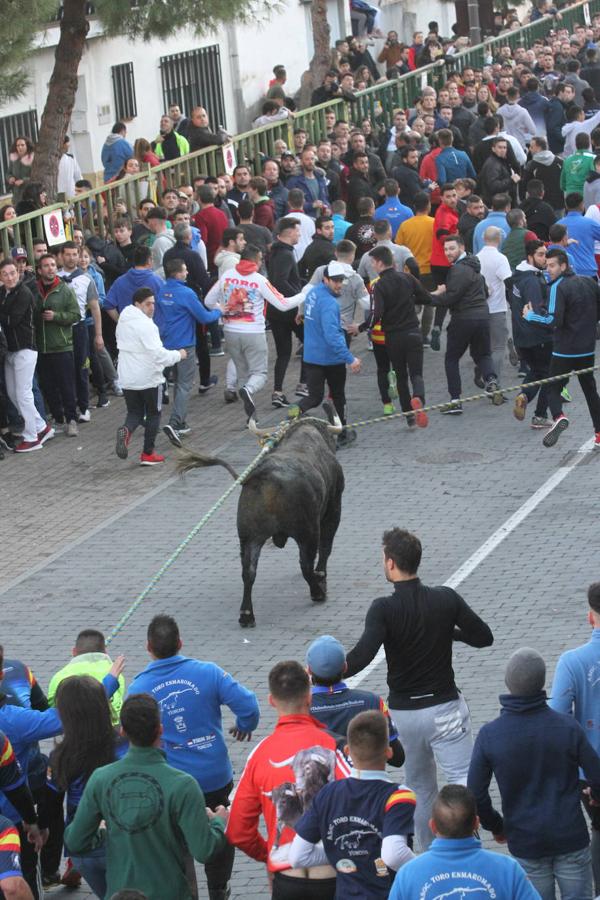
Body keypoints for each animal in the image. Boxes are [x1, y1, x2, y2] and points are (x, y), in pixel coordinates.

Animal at [176, 406, 344, 624]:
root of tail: (265, 476)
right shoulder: (334, 507)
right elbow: (326, 547)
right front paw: (321, 576)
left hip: (249, 537)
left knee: (248, 572)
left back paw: (246, 615)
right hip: (307, 531)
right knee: (306, 565)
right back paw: (318, 592)